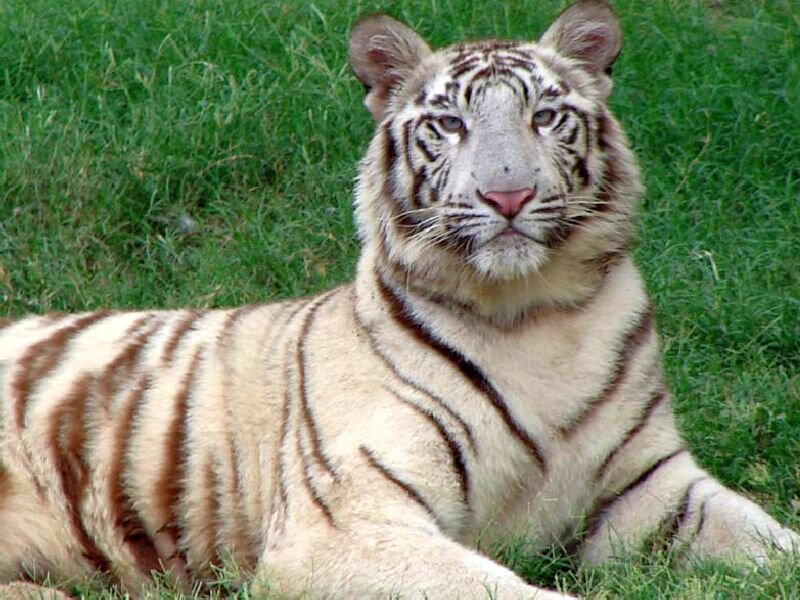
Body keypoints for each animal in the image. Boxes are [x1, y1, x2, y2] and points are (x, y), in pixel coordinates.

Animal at [0, 1, 797, 598]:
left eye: (544, 117)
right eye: (450, 124)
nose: (508, 194)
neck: (532, 314)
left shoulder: (652, 490)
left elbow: (776, 541)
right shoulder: (345, 523)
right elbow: (501, 590)